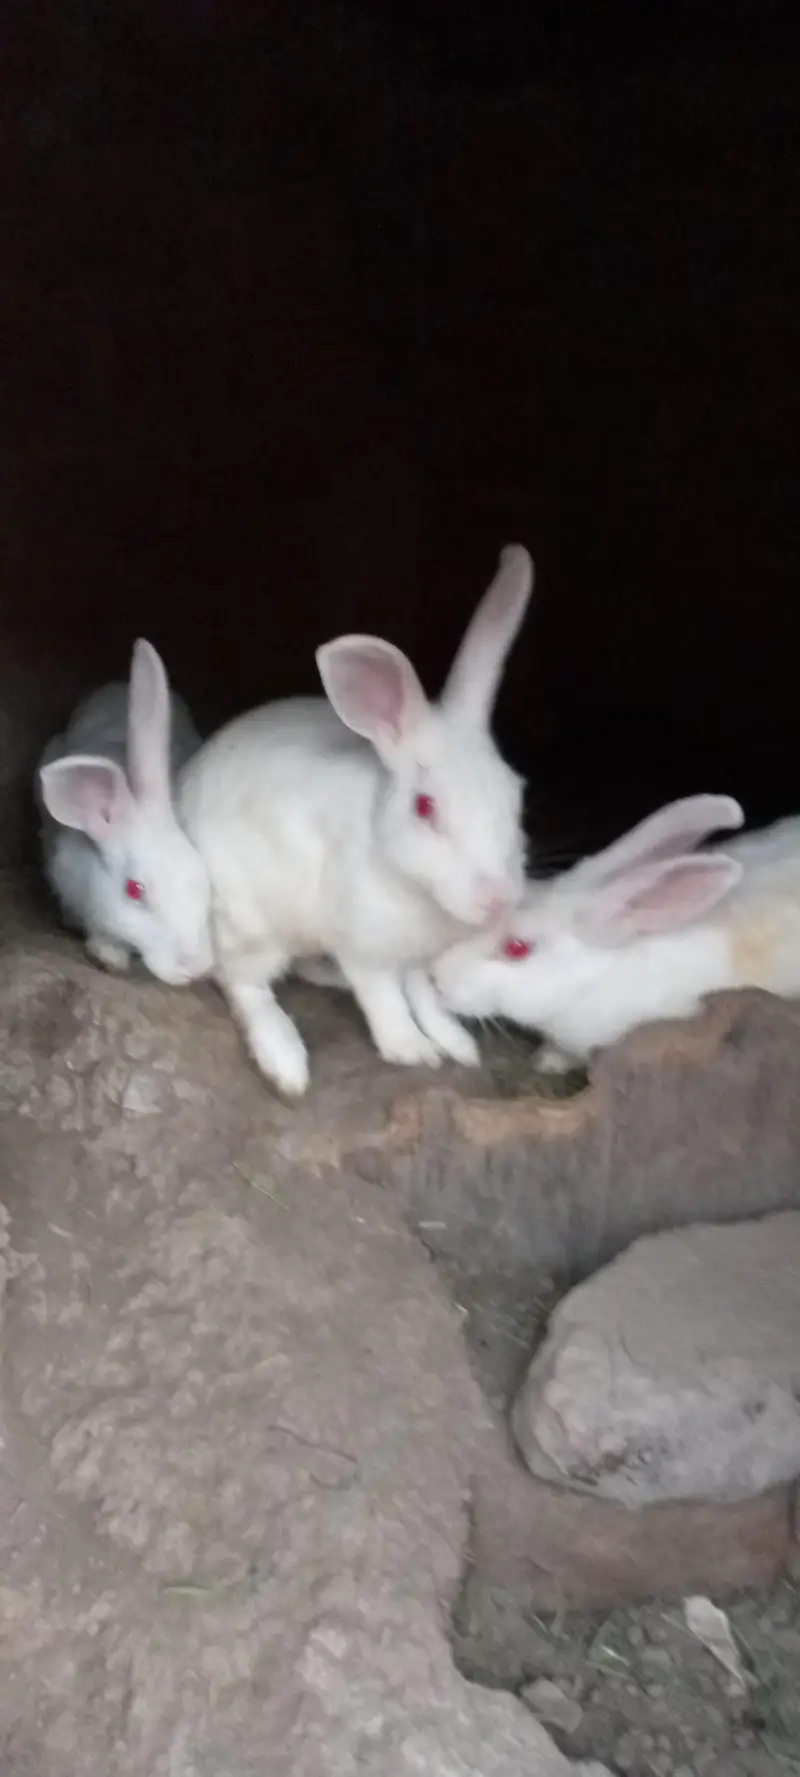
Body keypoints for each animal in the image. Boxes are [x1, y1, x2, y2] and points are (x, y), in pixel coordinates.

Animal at [179, 544, 534, 1096]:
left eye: (516, 793)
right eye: (426, 807)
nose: (498, 900)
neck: (414, 888)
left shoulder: (416, 959)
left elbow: (424, 995)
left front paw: (455, 1044)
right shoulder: (366, 949)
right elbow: (385, 999)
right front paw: (410, 1050)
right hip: (249, 924)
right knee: (244, 985)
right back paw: (286, 1062)